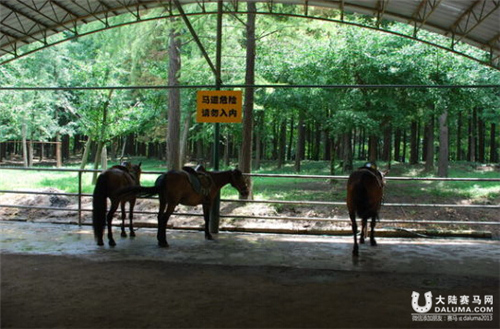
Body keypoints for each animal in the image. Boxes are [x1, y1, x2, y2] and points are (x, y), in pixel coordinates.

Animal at [117, 165, 250, 247]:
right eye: (239, 178)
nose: (246, 192)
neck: (213, 180)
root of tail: (164, 176)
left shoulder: (204, 203)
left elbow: (205, 219)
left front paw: (207, 234)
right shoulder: (208, 203)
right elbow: (207, 219)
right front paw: (208, 235)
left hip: (163, 201)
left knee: (159, 217)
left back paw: (159, 240)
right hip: (171, 203)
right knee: (164, 218)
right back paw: (164, 241)